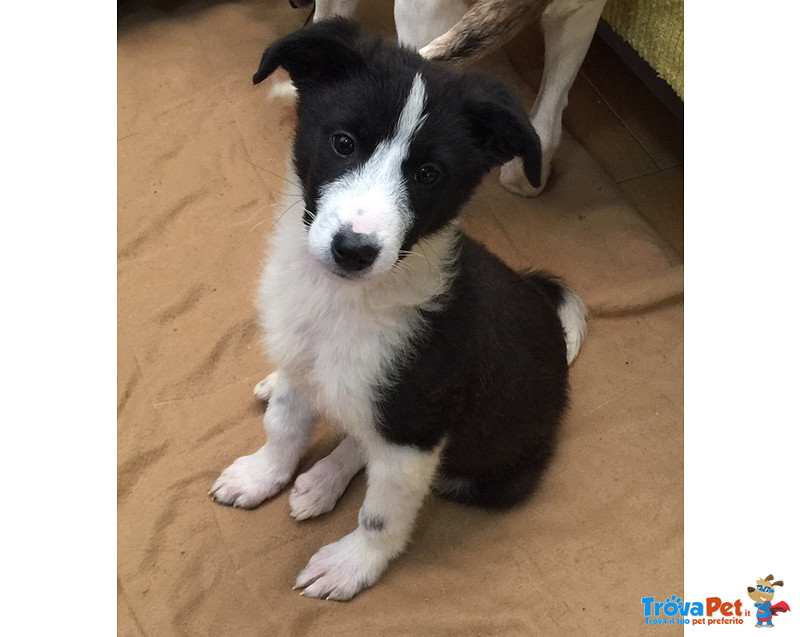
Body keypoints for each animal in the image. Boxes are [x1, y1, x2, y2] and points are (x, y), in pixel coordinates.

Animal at [211, 17, 588, 600]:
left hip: (487, 469)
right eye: (343, 143)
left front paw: (353, 563)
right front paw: (262, 474)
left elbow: (381, 513)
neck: (342, 299)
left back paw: (324, 482)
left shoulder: (417, 427)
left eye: (428, 174)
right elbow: (285, 427)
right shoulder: (301, 359)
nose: (353, 249)